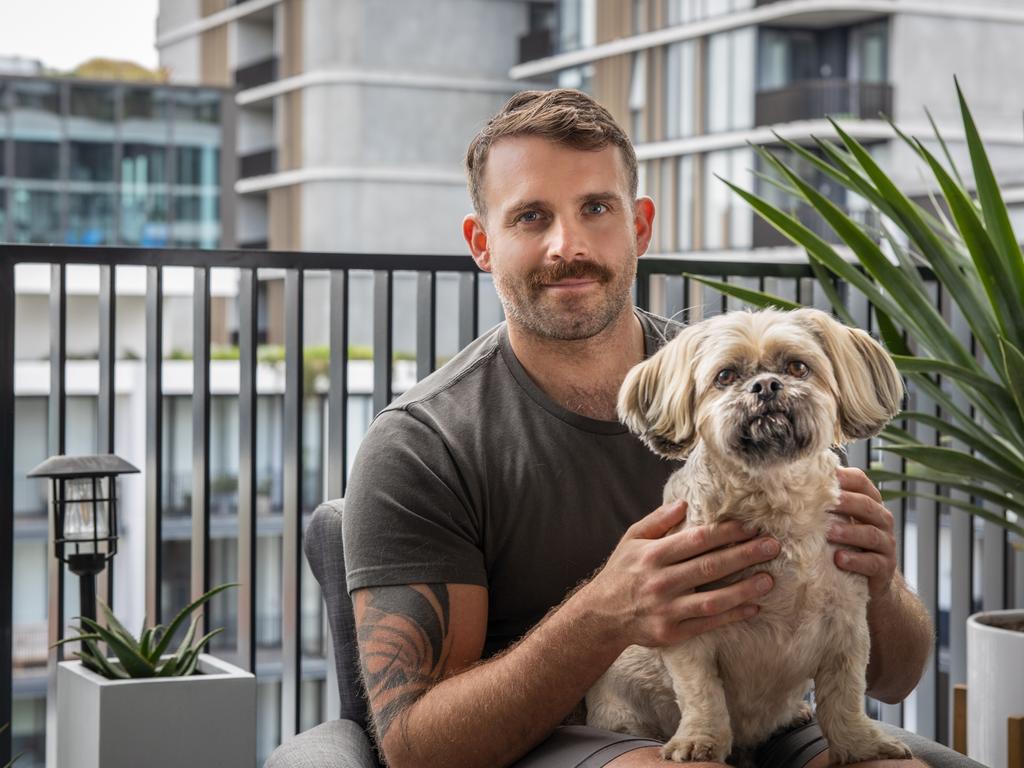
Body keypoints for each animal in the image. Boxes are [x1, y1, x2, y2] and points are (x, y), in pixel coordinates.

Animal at [585, 309, 913, 765]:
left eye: (797, 367)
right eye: (725, 376)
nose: (766, 386)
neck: (774, 500)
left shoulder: (846, 627)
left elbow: (845, 696)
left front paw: (860, 745)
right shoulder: (686, 627)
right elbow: (702, 694)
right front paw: (700, 741)